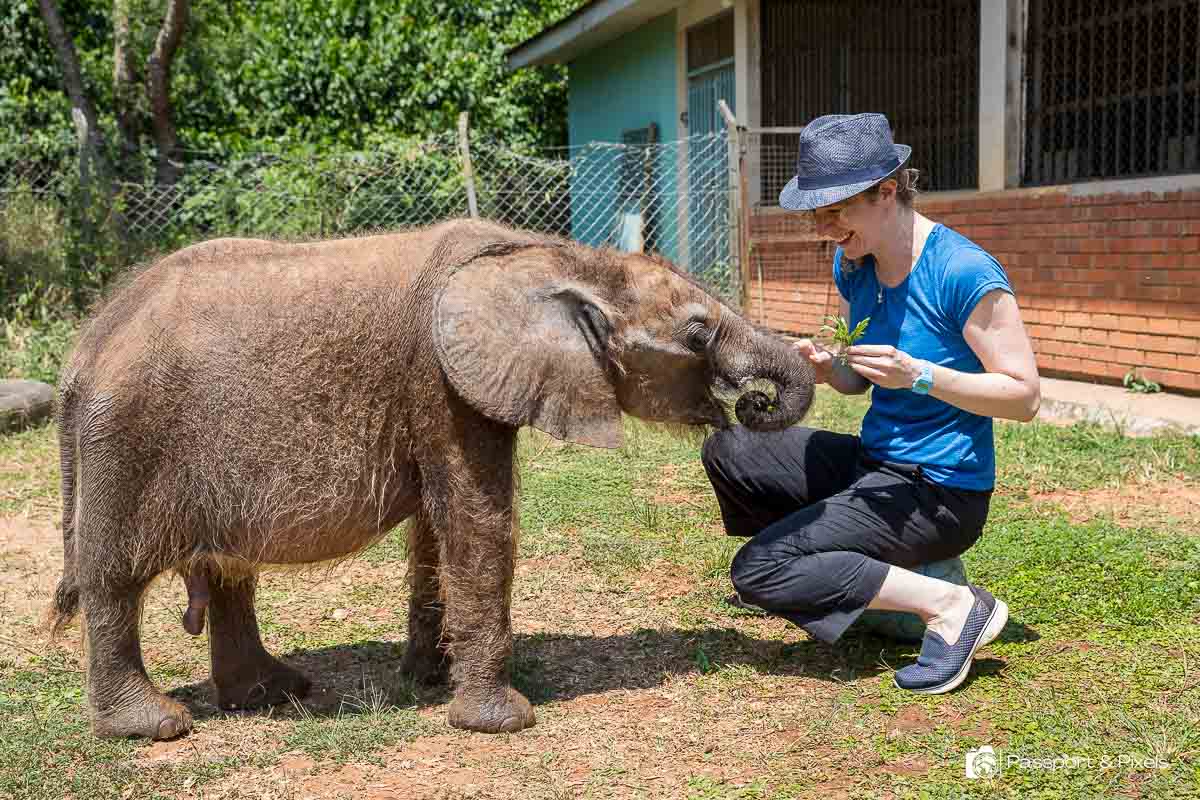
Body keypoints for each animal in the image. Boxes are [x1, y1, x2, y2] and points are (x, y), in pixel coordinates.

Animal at [49, 218, 815, 740]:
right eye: (697, 335)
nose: (753, 401)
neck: (552, 256)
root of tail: (82, 351)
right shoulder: (442, 385)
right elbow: (477, 523)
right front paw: (502, 721)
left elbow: (433, 531)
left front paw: (428, 679)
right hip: (129, 441)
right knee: (115, 577)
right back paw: (155, 726)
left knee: (229, 570)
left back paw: (274, 693)